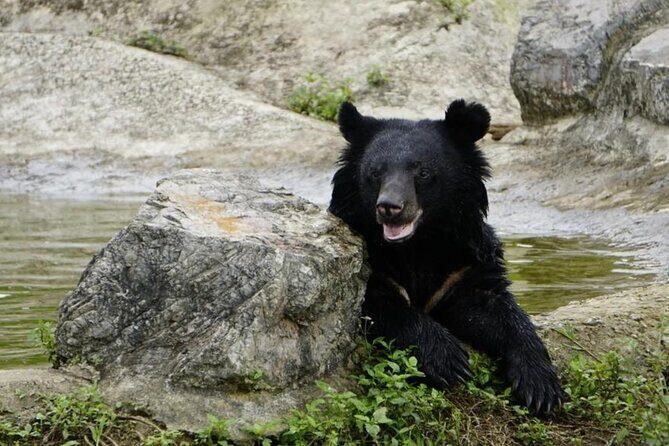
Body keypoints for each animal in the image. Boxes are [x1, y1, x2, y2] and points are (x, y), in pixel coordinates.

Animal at [329, 100, 563, 414]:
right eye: (375, 173)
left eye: (423, 172)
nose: (390, 207)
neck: (418, 244)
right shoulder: (373, 263)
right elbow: (383, 307)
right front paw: (449, 360)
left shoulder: (462, 265)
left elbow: (497, 310)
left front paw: (541, 387)